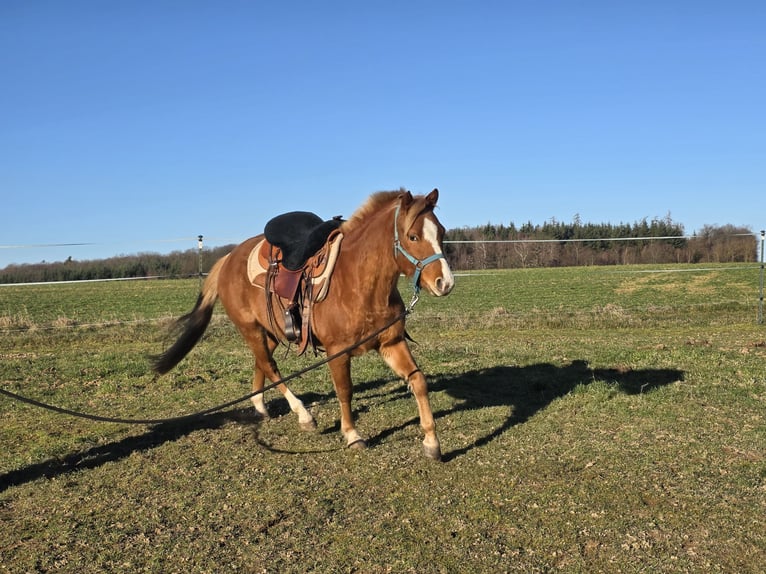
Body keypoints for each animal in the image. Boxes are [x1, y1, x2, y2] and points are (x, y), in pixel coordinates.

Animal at [152, 188, 455, 459]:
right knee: (271, 367)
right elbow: (345, 390)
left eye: (441, 233)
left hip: (270, 331)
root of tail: (228, 259)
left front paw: (431, 442)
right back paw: (304, 415)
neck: (359, 282)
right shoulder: (337, 351)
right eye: (413, 236)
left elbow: (418, 381)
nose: (446, 283)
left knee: (261, 362)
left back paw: (260, 406)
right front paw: (352, 435)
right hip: (249, 328)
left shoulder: (391, 342)